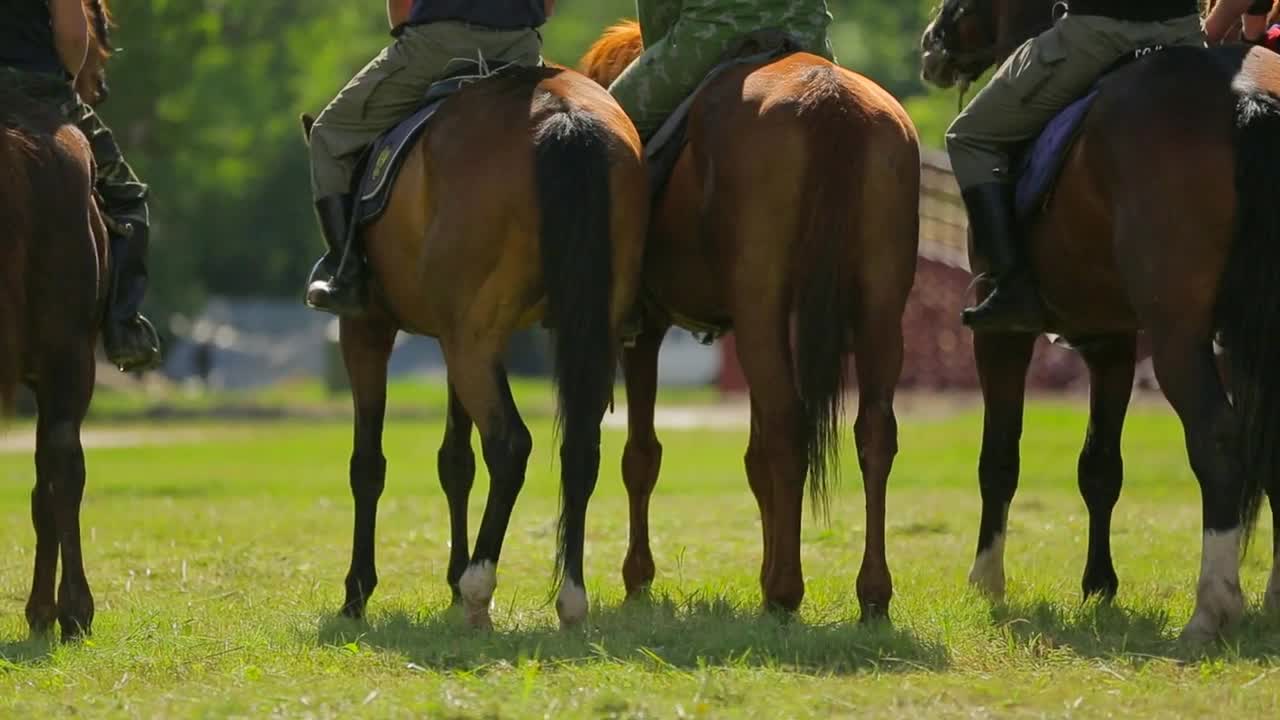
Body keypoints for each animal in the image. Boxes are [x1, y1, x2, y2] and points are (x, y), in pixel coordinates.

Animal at [302, 67, 650, 627]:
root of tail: (561, 114)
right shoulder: (455, 343)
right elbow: (456, 463)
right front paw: (447, 578)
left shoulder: (368, 332)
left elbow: (367, 464)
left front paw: (358, 591)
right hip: (570, 334)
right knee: (580, 446)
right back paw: (569, 597)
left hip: (468, 344)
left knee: (510, 445)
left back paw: (478, 586)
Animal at [581, 20, 921, 617]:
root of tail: (829, 99)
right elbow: (756, 463)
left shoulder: (644, 335)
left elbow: (641, 455)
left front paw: (638, 577)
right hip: (878, 312)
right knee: (872, 432)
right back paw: (870, 593)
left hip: (762, 313)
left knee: (788, 428)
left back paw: (786, 591)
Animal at [921, 0, 1280, 638]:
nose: (931, 42)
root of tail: (1247, 97)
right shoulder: (1112, 342)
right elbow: (1100, 468)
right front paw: (1099, 586)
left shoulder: (1001, 339)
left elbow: (999, 459)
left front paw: (986, 582)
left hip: (1178, 338)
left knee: (1217, 440)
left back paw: (1212, 607)